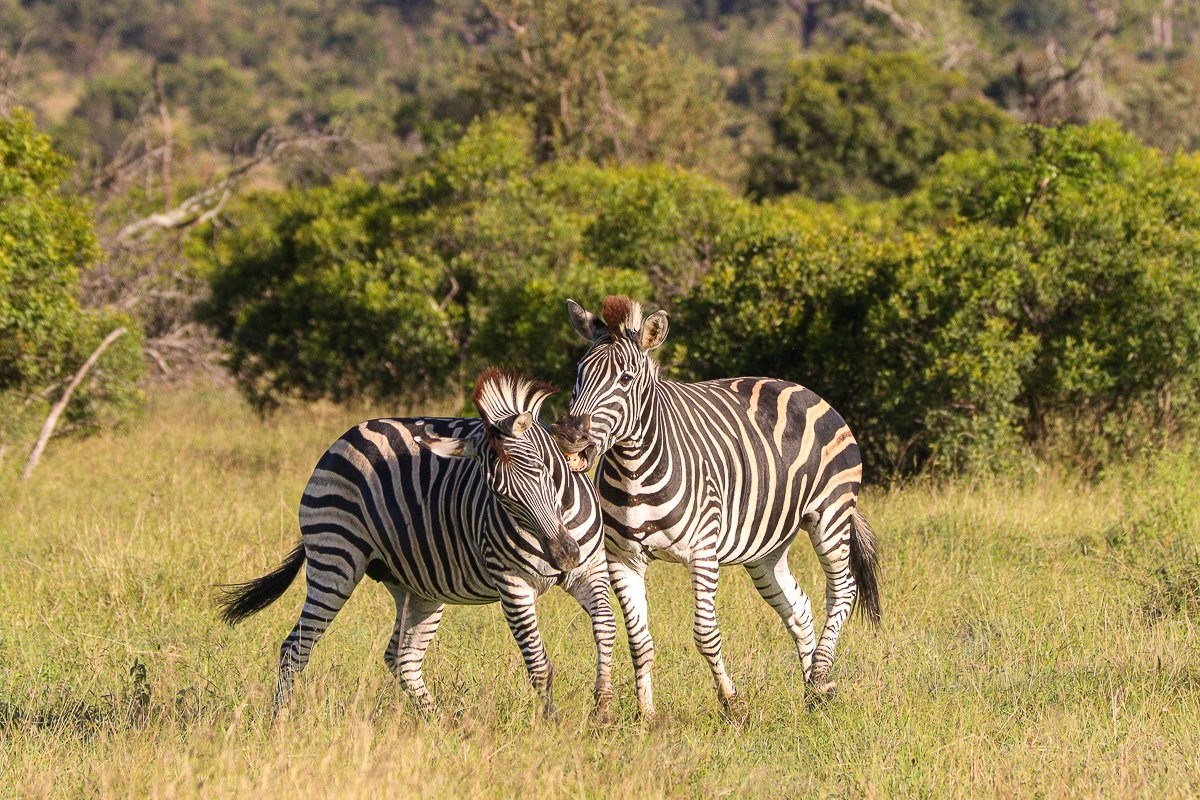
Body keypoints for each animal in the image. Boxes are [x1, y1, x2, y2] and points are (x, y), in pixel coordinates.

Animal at [218, 369, 616, 721]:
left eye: (544, 472)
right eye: (499, 495)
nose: (563, 557)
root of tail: (346, 436)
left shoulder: (591, 572)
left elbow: (606, 626)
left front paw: (602, 709)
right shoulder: (513, 586)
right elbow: (538, 664)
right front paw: (552, 724)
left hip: (419, 584)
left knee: (402, 657)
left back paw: (441, 725)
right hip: (335, 557)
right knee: (295, 648)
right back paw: (280, 722)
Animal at [550, 296, 880, 718]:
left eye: (625, 379)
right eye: (579, 374)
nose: (570, 437)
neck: (634, 470)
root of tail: (802, 388)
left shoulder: (703, 551)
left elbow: (705, 634)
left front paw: (732, 704)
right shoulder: (623, 557)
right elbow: (639, 640)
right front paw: (646, 715)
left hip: (831, 515)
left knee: (842, 589)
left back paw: (821, 675)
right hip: (767, 547)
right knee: (799, 609)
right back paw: (813, 696)